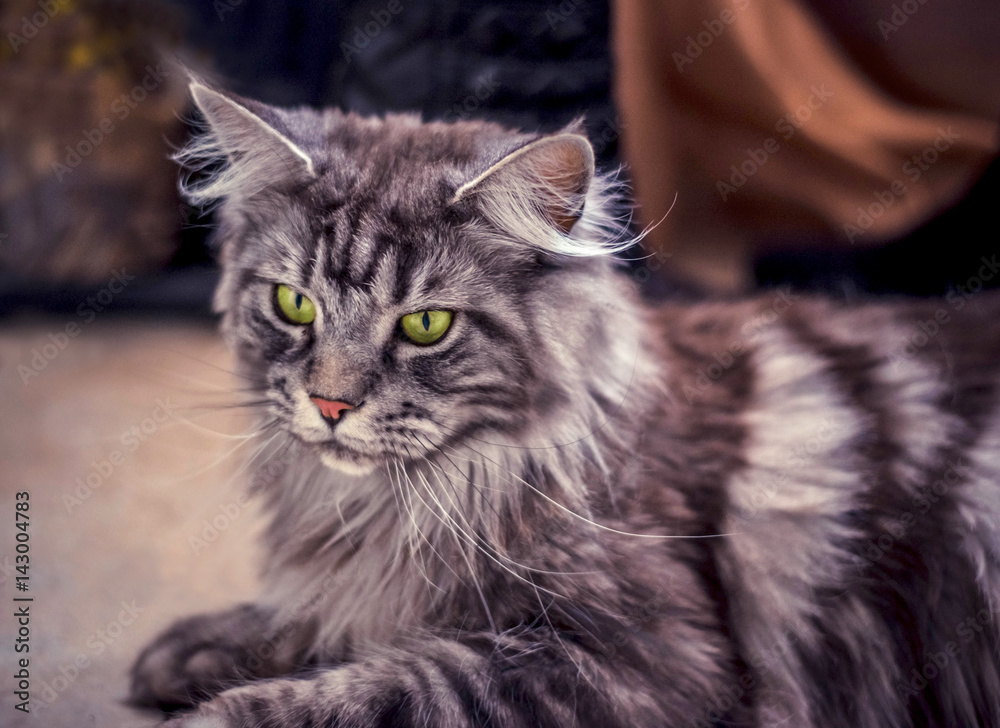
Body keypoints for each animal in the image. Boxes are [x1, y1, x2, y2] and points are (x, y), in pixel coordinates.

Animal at [129, 81, 1000, 728]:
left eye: (426, 325)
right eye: (294, 305)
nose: (329, 404)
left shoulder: (640, 658)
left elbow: (378, 688)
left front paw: (210, 709)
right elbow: (311, 619)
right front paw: (191, 651)